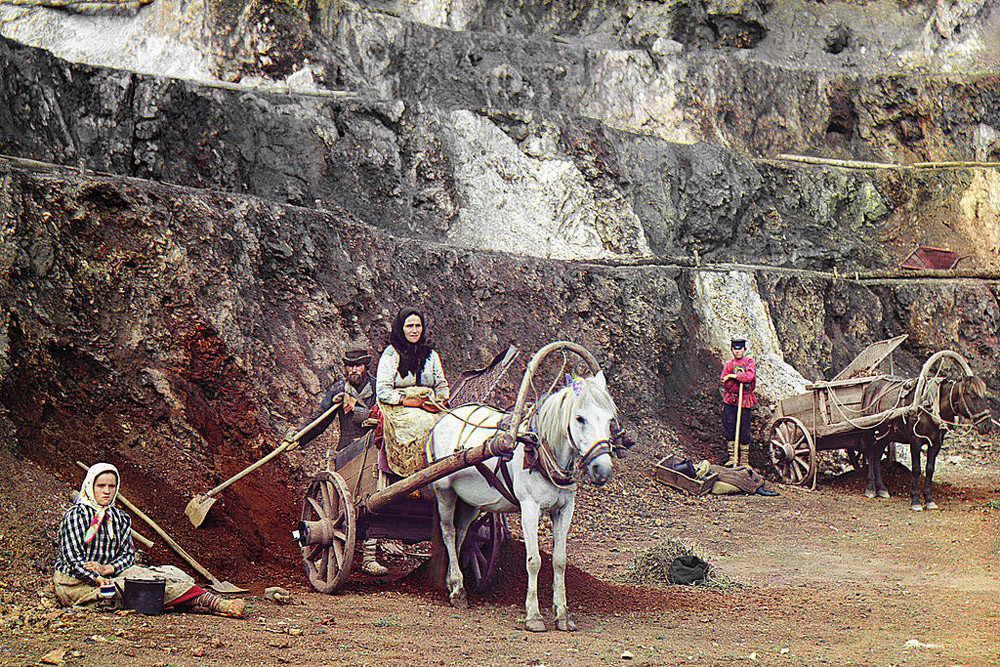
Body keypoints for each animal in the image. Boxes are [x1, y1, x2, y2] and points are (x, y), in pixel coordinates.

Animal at [430, 374, 616, 636]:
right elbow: (534, 560)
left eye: (610, 418)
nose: (603, 469)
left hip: (470, 502)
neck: (541, 451)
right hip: (444, 490)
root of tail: (445, 417)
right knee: (448, 533)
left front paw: (562, 615)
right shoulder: (530, 508)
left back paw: (453, 582)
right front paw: (534, 615)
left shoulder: (565, 510)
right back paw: (457, 591)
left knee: (461, 534)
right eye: (580, 418)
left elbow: (560, 561)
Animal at [860, 376, 992, 512]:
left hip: (886, 434)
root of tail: (871, 386)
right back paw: (870, 488)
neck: (930, 406)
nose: (987, 426)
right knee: (870, 454)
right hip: (869, 429)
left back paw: (881, 488)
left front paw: (929, 499)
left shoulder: (936, 443)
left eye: (986, 397)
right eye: (973, 396)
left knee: (876, 455)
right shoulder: (915, 441)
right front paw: (916, 500)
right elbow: (916, 469)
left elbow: (930, 469)